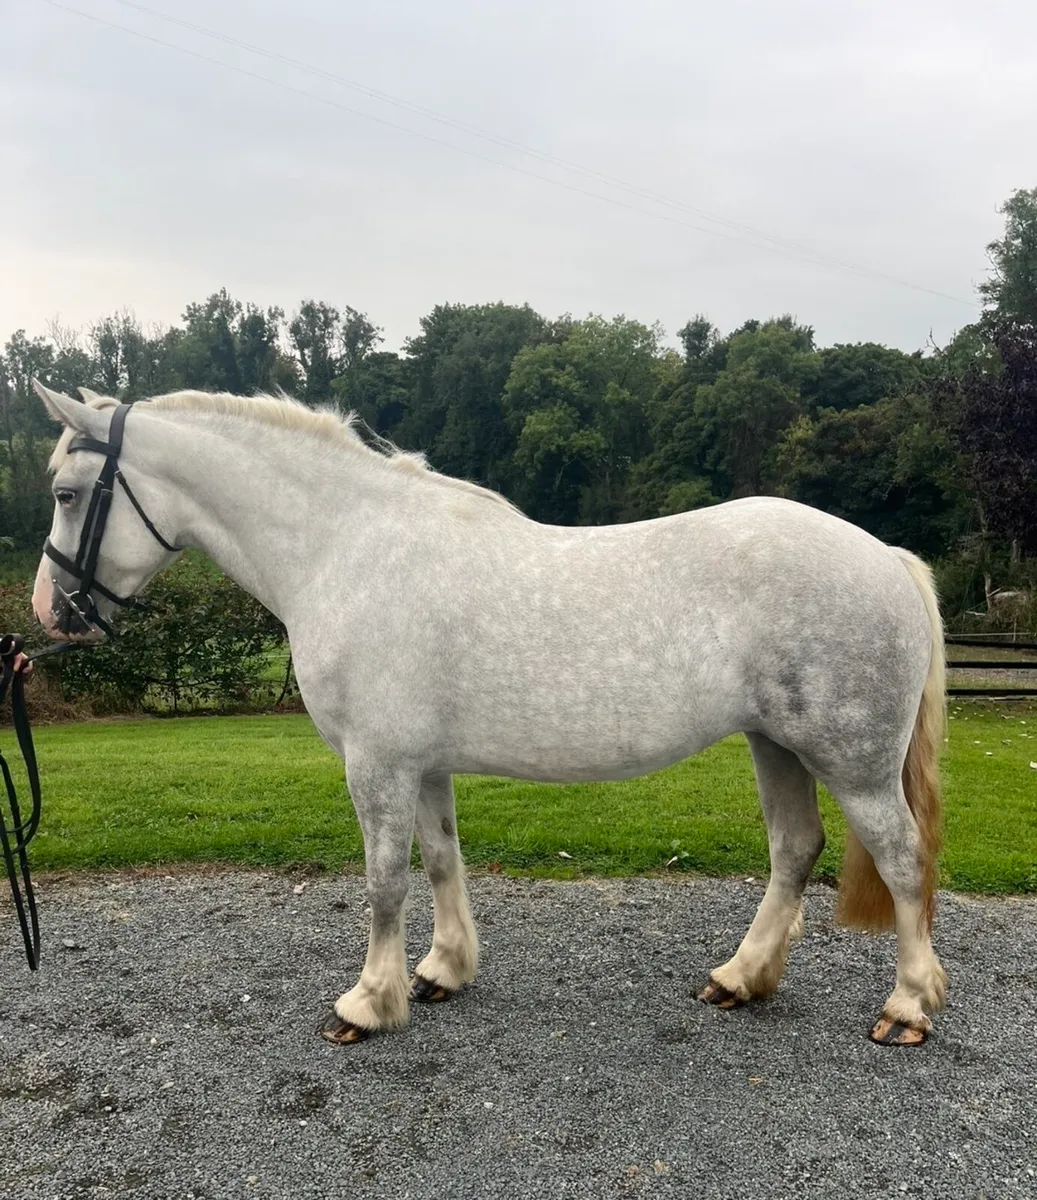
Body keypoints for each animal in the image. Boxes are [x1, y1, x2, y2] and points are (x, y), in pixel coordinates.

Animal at [31, 383, 947, 1048]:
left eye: (69, 494)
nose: (49, 611)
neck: (344, 548)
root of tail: (885, 557)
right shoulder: (422, 764)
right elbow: (440, 862)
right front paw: (440, 971)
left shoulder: (376, 763)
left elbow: (383, 883)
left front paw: (367, 1003)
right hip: (773, 744)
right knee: (794, 849)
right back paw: (739, 978)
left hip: (853, 761)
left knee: (901, 860)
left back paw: (905, 1008)